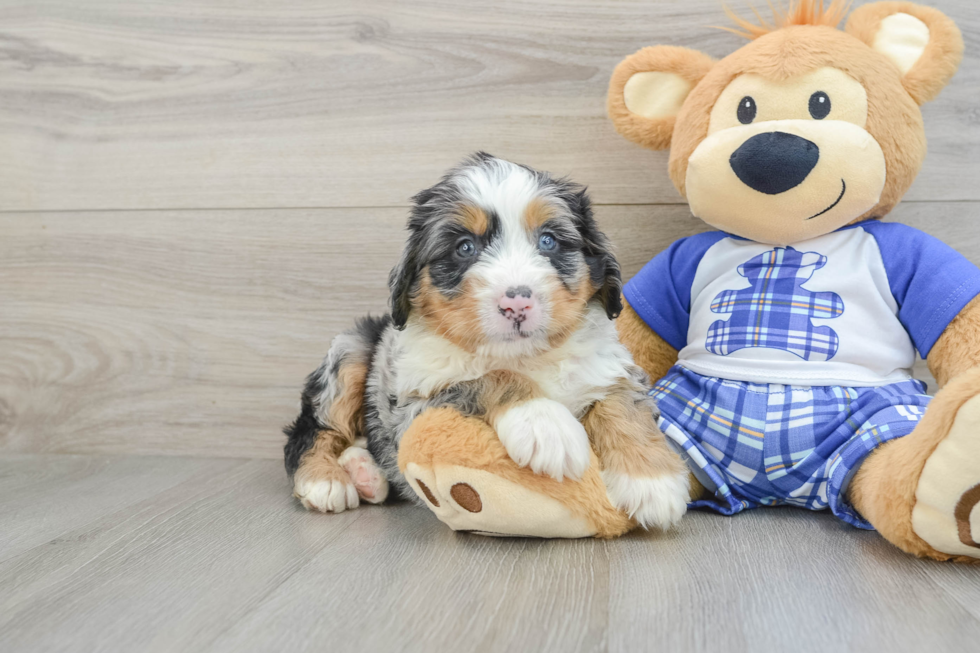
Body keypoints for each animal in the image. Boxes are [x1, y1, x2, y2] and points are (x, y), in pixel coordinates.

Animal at [284, 154, 688, 528]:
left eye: (548, 241)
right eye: (464, 247)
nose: (517, 302)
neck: (526, 356)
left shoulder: (609, 366)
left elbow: (621, 403)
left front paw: (653, 483)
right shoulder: (415, 404)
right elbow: (489, 378)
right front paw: (546, 425)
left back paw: (365, 472)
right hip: (350, 351)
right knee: (312, 430)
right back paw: (328, 480)